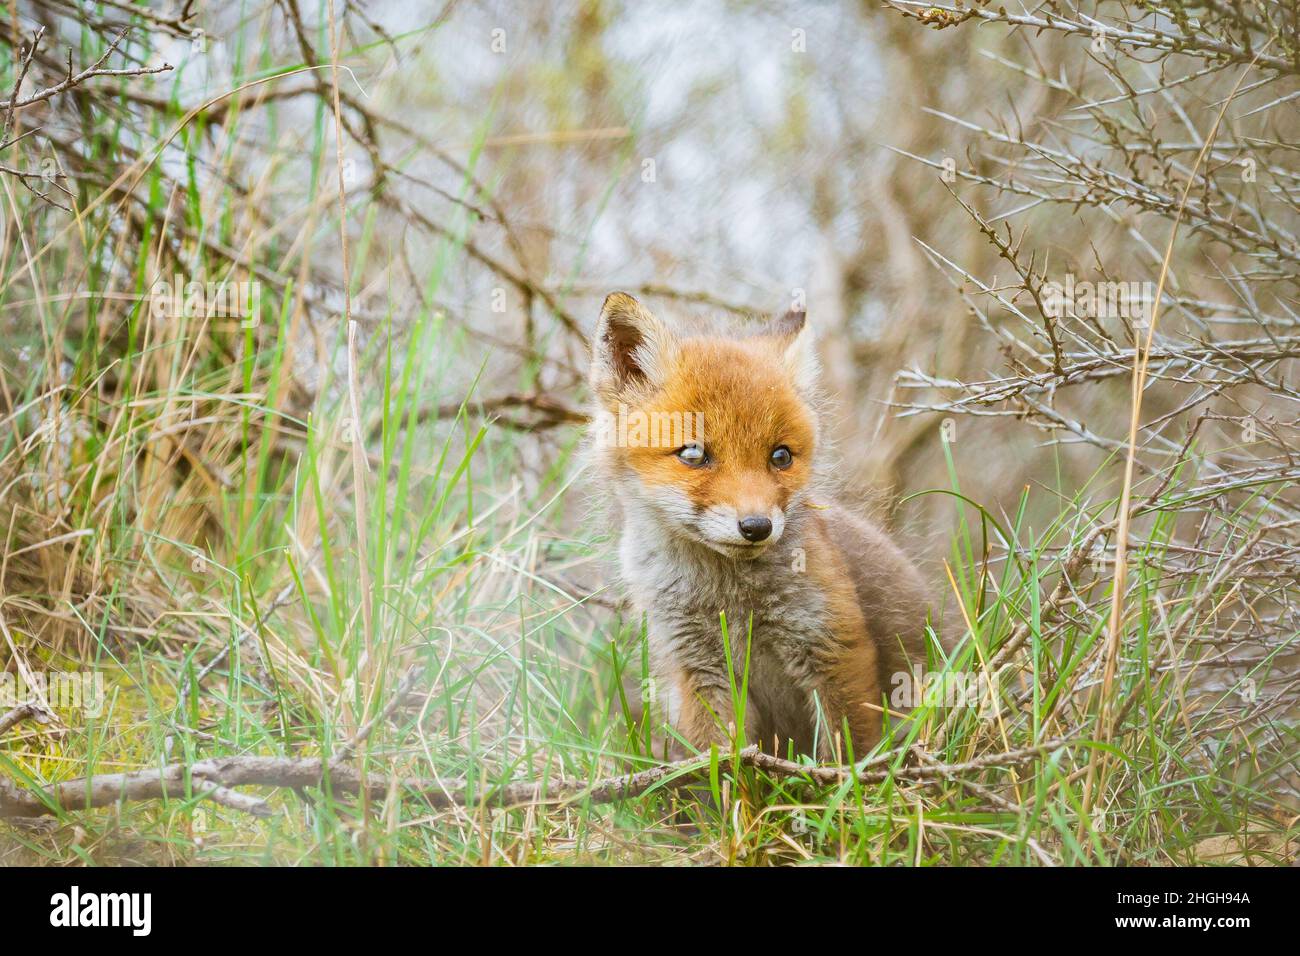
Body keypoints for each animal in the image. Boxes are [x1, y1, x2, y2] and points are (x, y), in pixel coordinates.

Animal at [589, 292, 942, 761]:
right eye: (693, 454)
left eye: (780, 456)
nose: (756, 526)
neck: (726, 594)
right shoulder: (697, 668)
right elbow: (720, 761)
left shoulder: (834, 646)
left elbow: (846, 753)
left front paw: (845, 783)